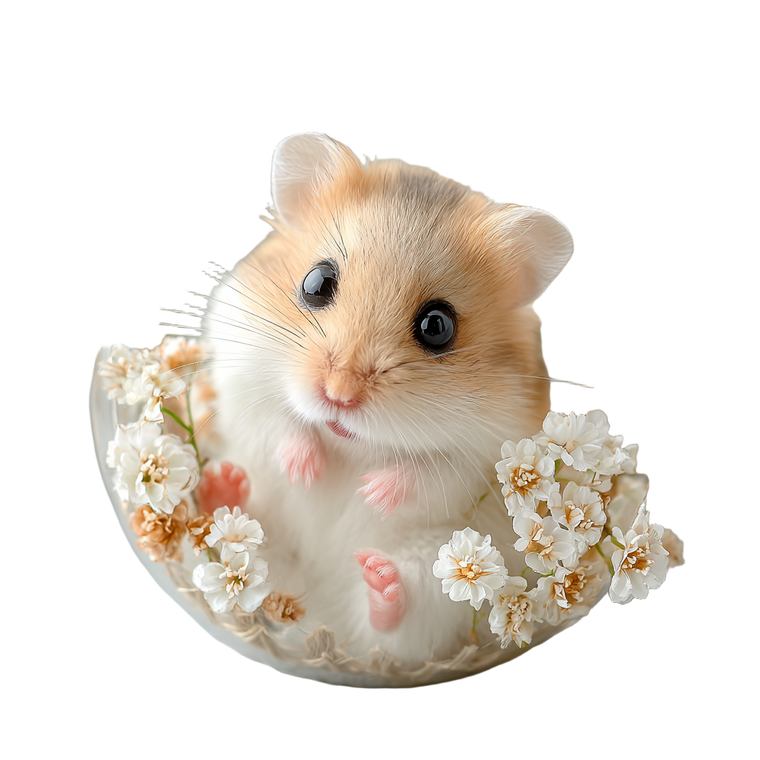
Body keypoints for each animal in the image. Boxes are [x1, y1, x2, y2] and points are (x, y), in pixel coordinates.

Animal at [196, 130, 577, 665]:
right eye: (316, 283)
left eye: (437, 326)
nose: (338, 397)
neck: (349, 444)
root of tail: (318, 617)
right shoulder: (240, 370)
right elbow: (276, 423)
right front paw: (306, 468)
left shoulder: (493, 450)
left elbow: (431, 471)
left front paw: (371, 491)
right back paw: (220, 487)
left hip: (438, 578)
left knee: (396, 620)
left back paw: (380, 578)